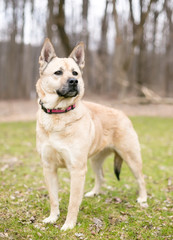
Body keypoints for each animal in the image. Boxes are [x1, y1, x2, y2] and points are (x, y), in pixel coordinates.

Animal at [36, 38, 147, 231]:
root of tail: (123, 114)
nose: (74, 81)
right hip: (95, 160)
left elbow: (73, 202)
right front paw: (52, 217)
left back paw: (142, 199)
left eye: (75, 72)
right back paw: (94, 193)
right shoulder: (49, 168)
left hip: (131, 157)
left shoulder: (77, 170)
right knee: (101, 177)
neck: (58, 114)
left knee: (141, 178)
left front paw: (69, 225)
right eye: (58, 72)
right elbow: (53, 198)